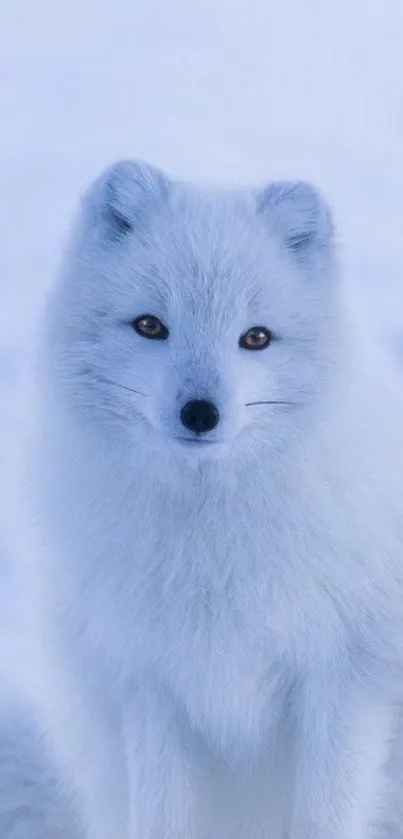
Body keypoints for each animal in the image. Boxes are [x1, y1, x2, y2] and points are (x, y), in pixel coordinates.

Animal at [2, 162, 403, 839]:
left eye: (256, 337)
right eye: (149, 326)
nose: (200, 413)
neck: (214, 539)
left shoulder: (343, 679)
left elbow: (325, 814)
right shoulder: (152, 686)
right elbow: (160, 815)